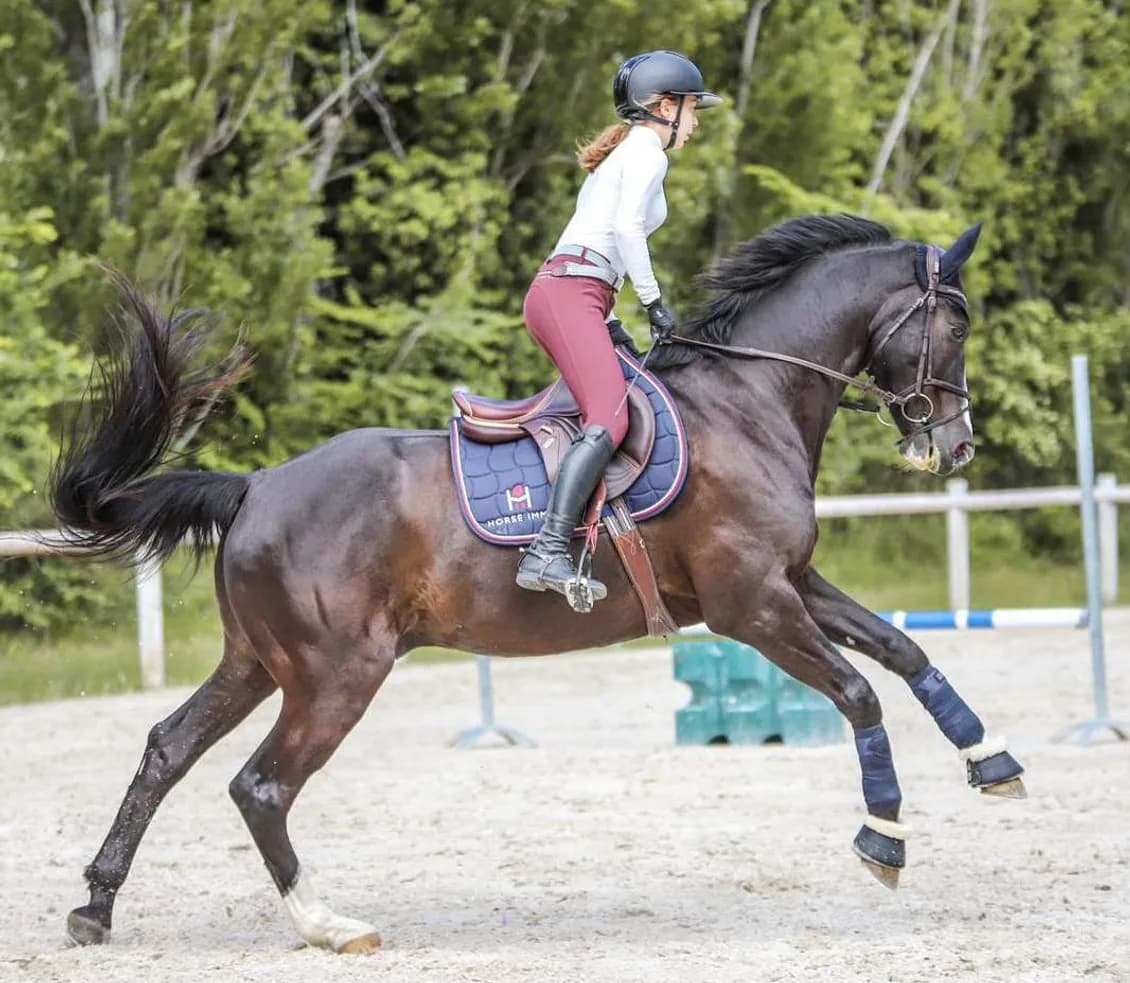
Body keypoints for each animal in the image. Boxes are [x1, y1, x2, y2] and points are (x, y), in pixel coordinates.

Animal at [53, 213, 1026, 953]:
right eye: (959, 324)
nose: (957, 444)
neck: (751, 399)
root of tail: (253, 484)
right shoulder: (751, 605)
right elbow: (860, 689)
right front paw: (883, 837)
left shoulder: (794, 580)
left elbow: (903, 649)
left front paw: (992, 760)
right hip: (335, 676)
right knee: (260, 786)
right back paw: (328, 923)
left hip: (257, 661)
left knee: (168, 749)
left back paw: (96, 905)